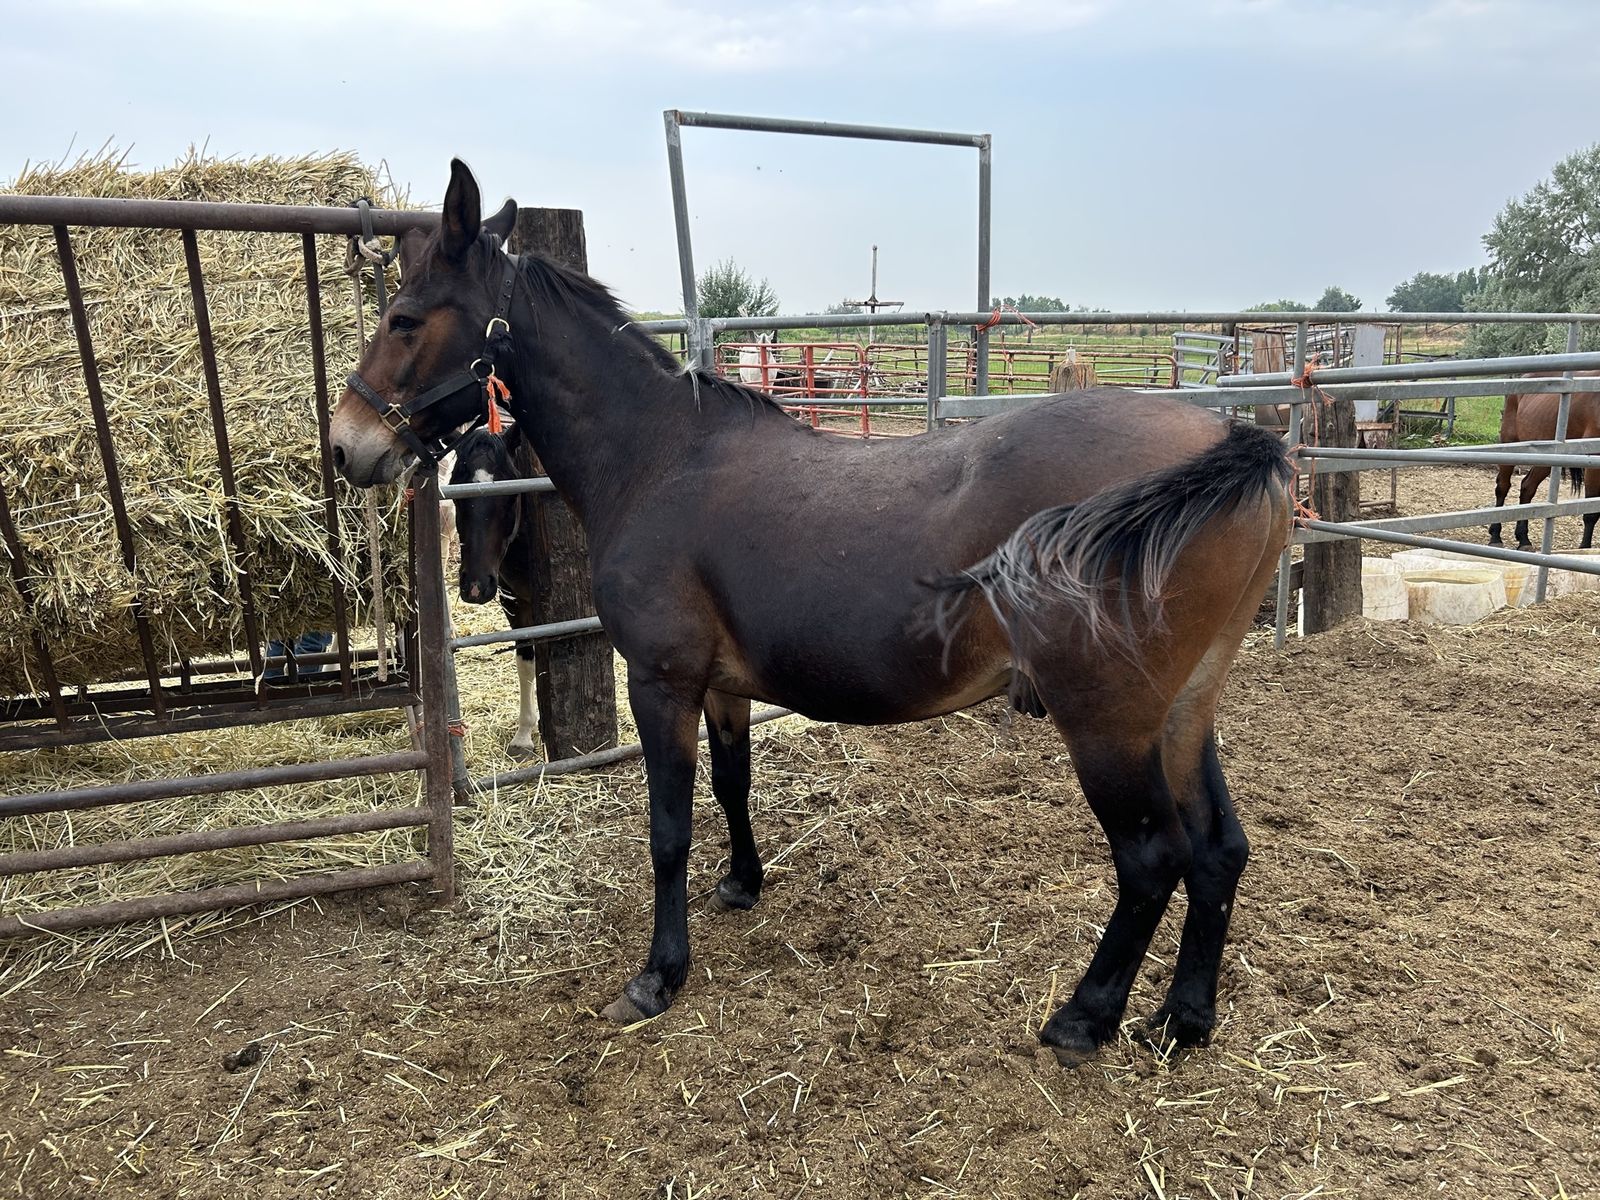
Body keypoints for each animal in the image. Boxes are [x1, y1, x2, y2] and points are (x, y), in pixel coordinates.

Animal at [449, 424, 541, 758]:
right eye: (456, 491)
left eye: (512, 493)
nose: (475, 586)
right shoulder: (515, 603)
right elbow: (526, 661)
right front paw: (525, 733)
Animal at [1488, 374, 1600, 549]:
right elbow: (1591, 512)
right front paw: (1584, 549)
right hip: (1509, 446)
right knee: (1502, 487)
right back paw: (1495, 536)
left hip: (1545, 459)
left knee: (1527, 487)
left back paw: (1524, 540)